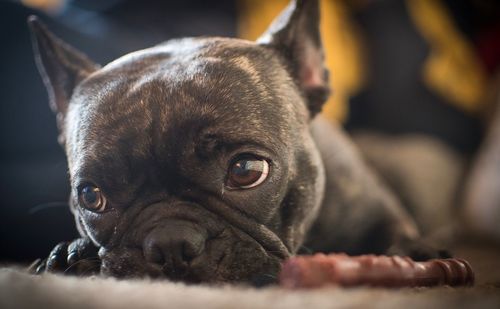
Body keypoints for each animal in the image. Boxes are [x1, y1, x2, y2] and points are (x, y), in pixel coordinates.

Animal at [27, 0, 444, 284]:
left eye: (246, 170)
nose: (169, 242)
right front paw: (71, 255)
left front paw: (414, 254)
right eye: (90, 196)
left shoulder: (376, 210)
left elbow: (394, 233)